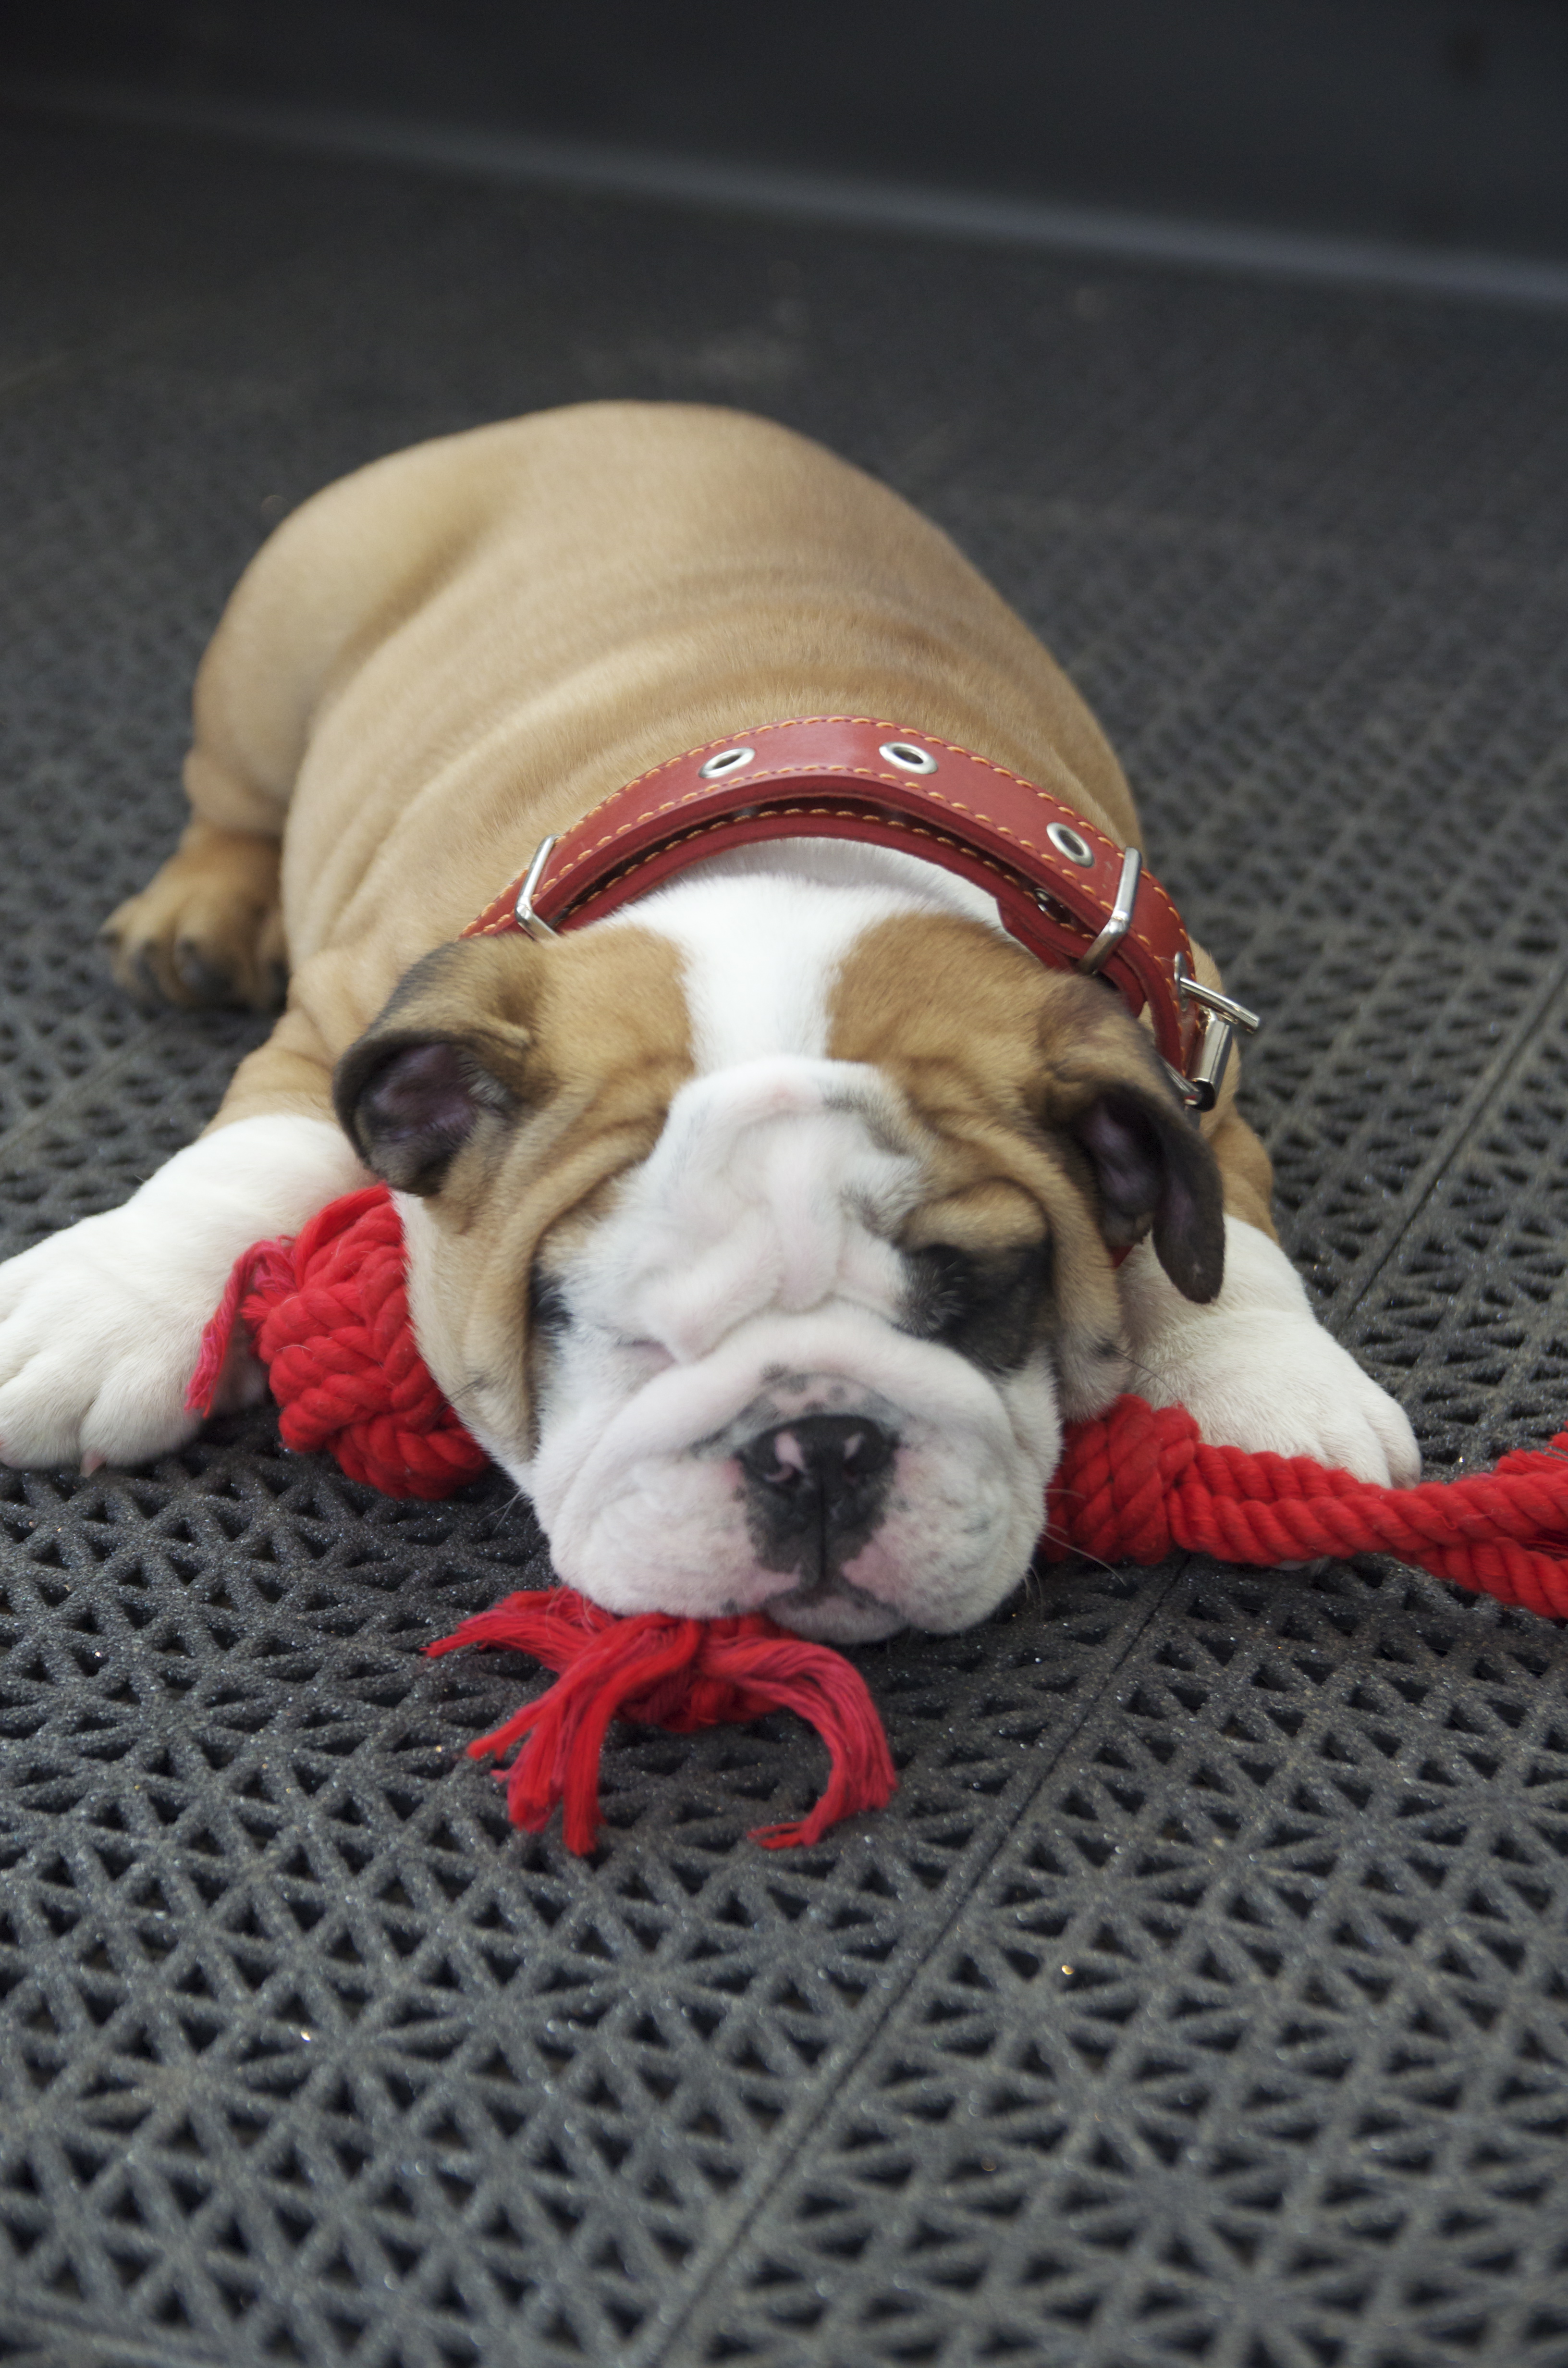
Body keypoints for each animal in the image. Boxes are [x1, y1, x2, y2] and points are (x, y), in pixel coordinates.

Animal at [0, 403, 1418, 1641]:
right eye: (604, 1325)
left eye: (979, 1294)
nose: (822, 1445)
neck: (797, 866)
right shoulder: (343, 1020)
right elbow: (246, 1163)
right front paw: (96, 1310)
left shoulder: (1187, 1058)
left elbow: (1218, 1243)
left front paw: (1269, 1391)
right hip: (279, 648)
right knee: (231, 802)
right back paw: (200, 914)